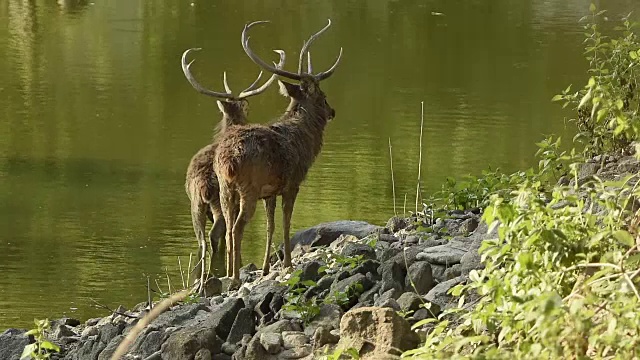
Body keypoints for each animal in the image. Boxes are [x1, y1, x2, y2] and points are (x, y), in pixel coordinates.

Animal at [215, 19, 342, 286]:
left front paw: (265, 269)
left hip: (224, 188)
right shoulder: (293, 183)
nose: (332, 111)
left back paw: (230, 274)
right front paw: (288, 264)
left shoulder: (270, 192)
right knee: (237, 227)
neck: (305, 140)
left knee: (228, 227)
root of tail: (228, 160)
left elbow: (270, 226)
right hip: (248, 187)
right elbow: (286, 223)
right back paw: (235, 277)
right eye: (322, 95)